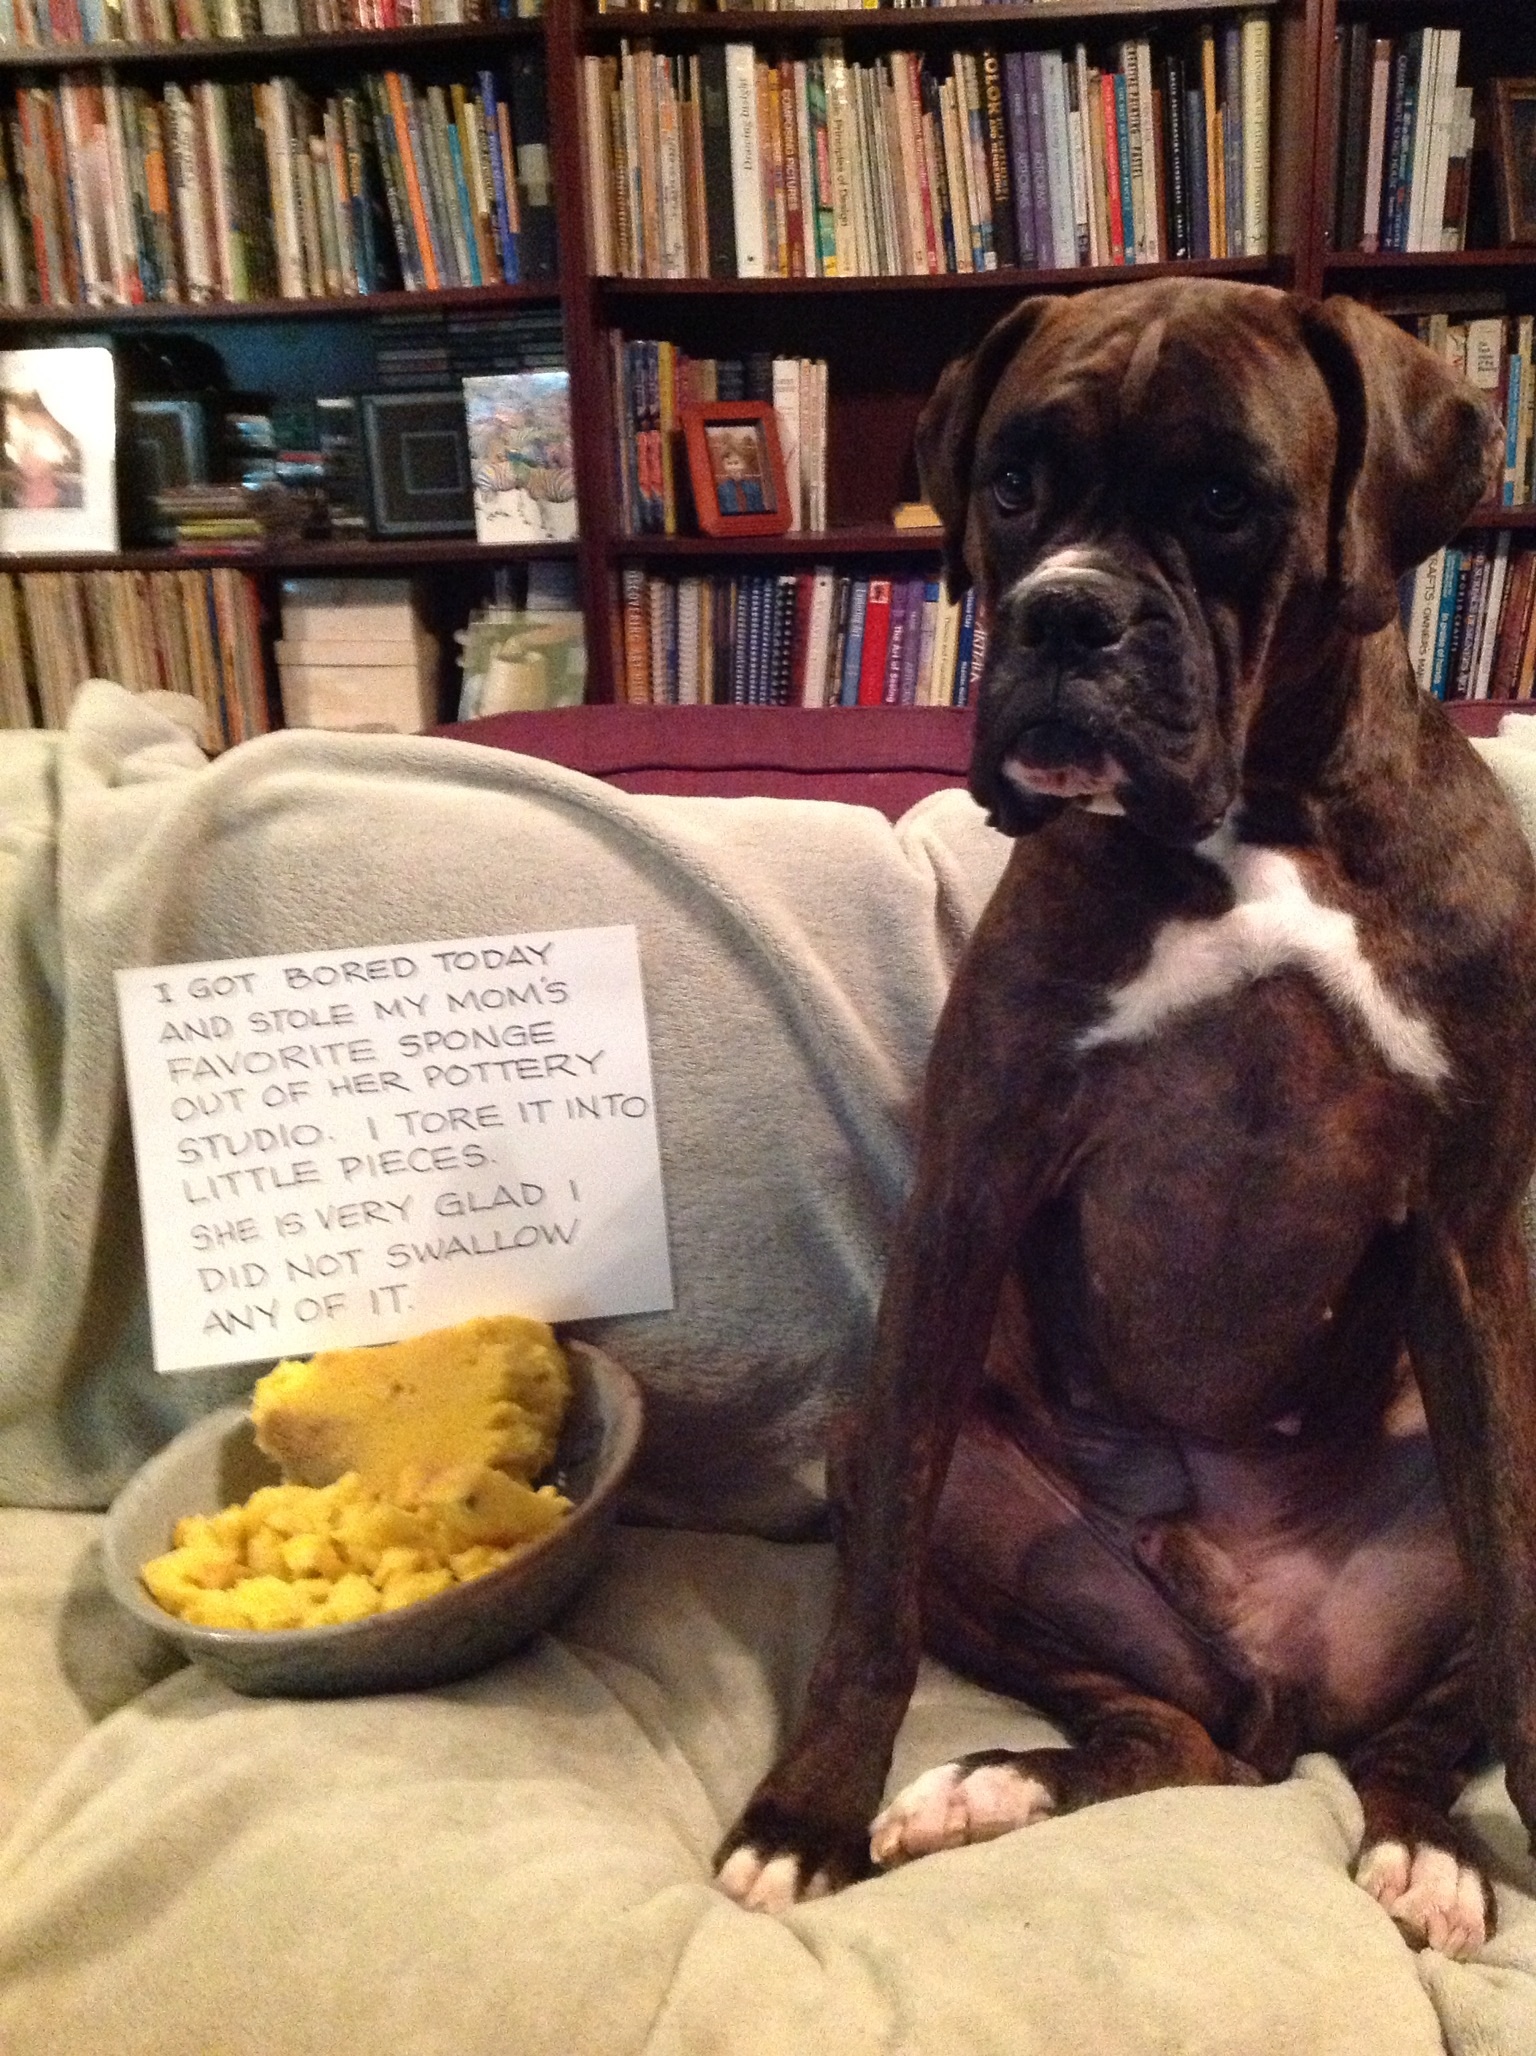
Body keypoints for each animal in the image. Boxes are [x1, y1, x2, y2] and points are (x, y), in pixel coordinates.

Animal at [715, 277, 1536, 1957]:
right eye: (1014, 486)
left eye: (1227, 502)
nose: (1063, 614)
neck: (1265, 816)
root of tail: (1275, 1678)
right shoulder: (970, 1195)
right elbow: (871, 1609)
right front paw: (807, 1813)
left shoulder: (1473, 1235)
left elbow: (1524, 1623)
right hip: (958, 1499)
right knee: (1160, 1732)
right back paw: (995, 1787)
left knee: (1419, 1728)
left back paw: (1428, 1849)